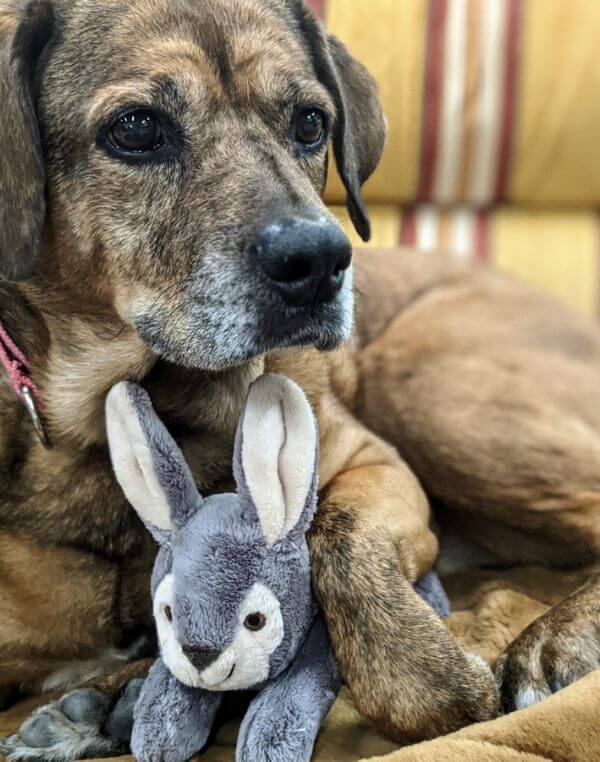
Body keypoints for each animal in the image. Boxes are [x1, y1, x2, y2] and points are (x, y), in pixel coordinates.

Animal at [0, 0, 596, 756]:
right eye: (136, 128)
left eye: (311, 123)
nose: (320, 262)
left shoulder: (375, 462)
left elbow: (336, 541)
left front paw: (429, 678)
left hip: (424, 389)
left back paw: (556, 639)